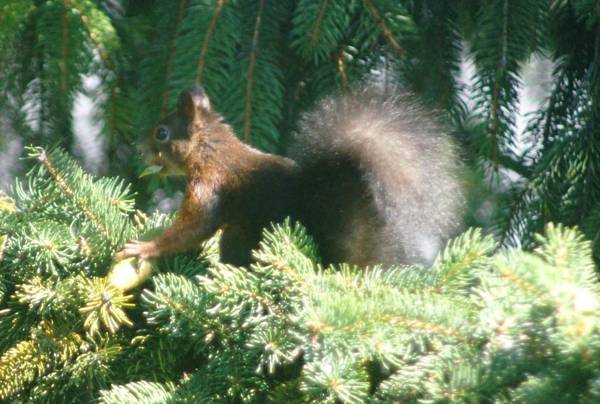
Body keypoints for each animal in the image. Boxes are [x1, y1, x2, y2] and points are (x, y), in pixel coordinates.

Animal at [117, 83, 464, 266]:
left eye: (161, 133)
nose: (137, 149)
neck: (211, 152)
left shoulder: (210, 187)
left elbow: (193, 228)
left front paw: (145, 248)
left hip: (241, 233)